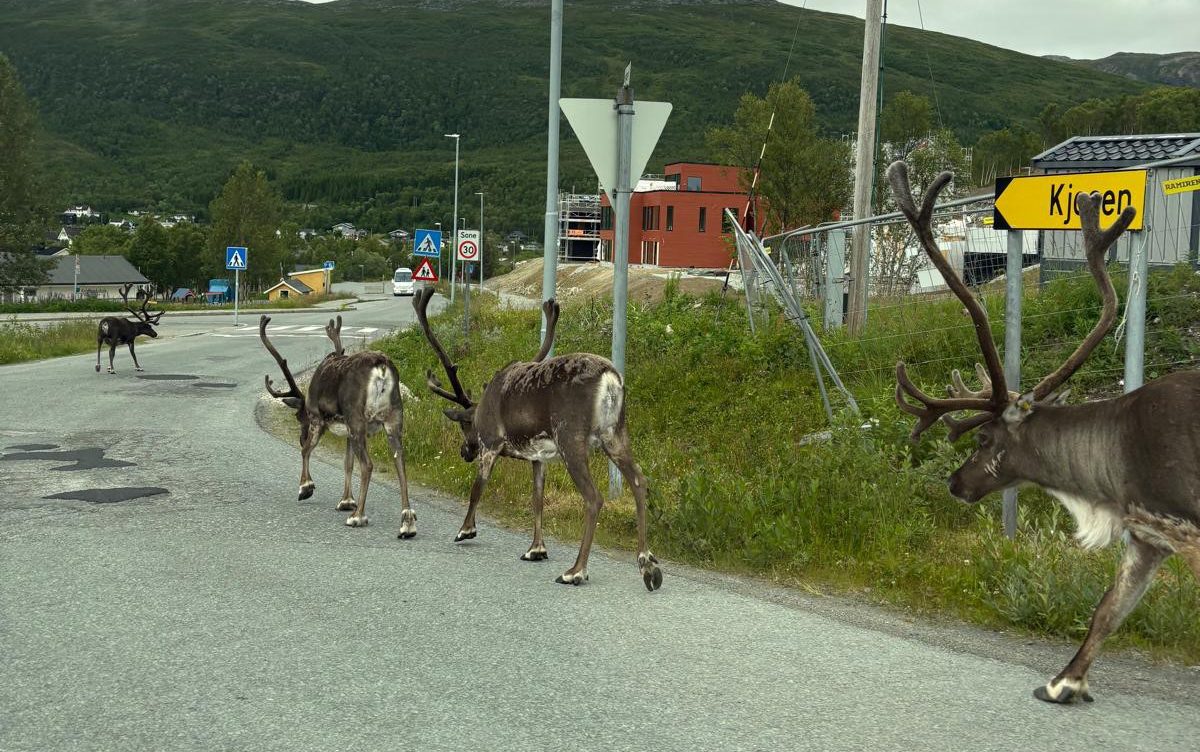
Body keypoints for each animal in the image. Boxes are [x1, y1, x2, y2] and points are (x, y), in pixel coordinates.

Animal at [259, 314, 417, 538]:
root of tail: (381, 366)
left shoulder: (317, 417)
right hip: (394, 417)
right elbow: (347, 463)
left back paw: (357, 517)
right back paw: (407, 523)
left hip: (357, 417)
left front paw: (306, 487)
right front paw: (346, 501)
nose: (299, 436)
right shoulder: (348, 430)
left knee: (367, 465)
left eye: (299, 416)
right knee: (400, 462)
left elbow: (306, 450)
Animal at [412, 286, 662, 591]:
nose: (464, 451)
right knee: (639, 481)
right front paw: (536, 549)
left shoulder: (491, 443)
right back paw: (647, 565)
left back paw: (575, 571)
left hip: (570, 437)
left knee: (594, 497)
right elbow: (537, 498)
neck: (482, 407)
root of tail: (611, 380)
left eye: (464, 426)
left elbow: (477, 488)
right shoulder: (538, 457)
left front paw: (465, 530)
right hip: (615, 433)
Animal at [887, 160, 1200, 705]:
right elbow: (1107, 610)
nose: (953, 482)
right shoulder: (1150, 533)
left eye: (984, 439)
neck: (1109, 477)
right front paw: (1063, 682)